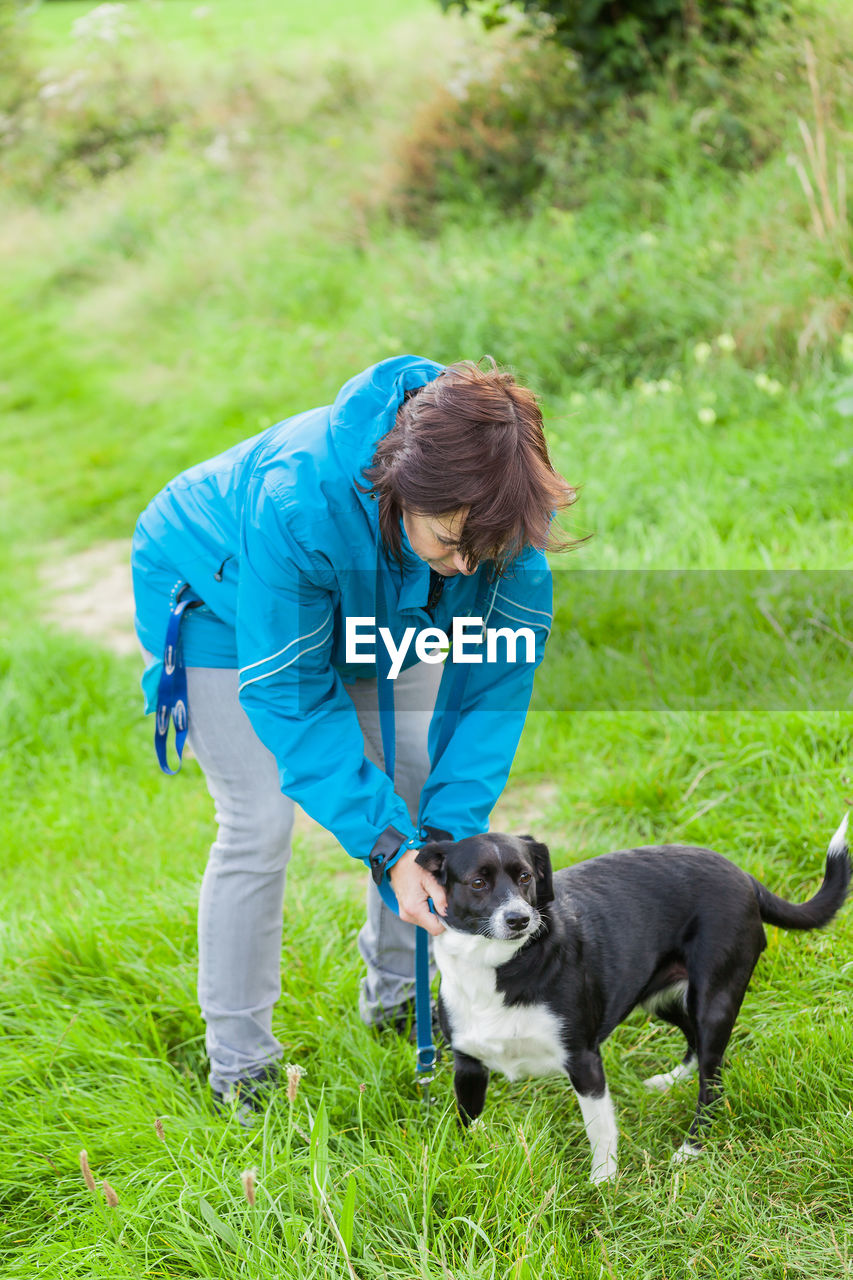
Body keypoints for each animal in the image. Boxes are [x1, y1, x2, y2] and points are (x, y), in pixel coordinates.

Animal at [412, 814, 845, 1182]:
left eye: (525, 877)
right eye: (478, 883)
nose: (520, 919)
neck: (498, 966)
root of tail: (744, 876)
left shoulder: (584, 1061)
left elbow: (600, 1130)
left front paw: (603, 1184)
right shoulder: (468, 1065)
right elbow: (467, 1120)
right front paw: (470, 1163)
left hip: (714, 999)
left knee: (712, 1080)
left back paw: (691, 1148)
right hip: (662, 997)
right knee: (693, 1041)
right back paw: (671, 1080)